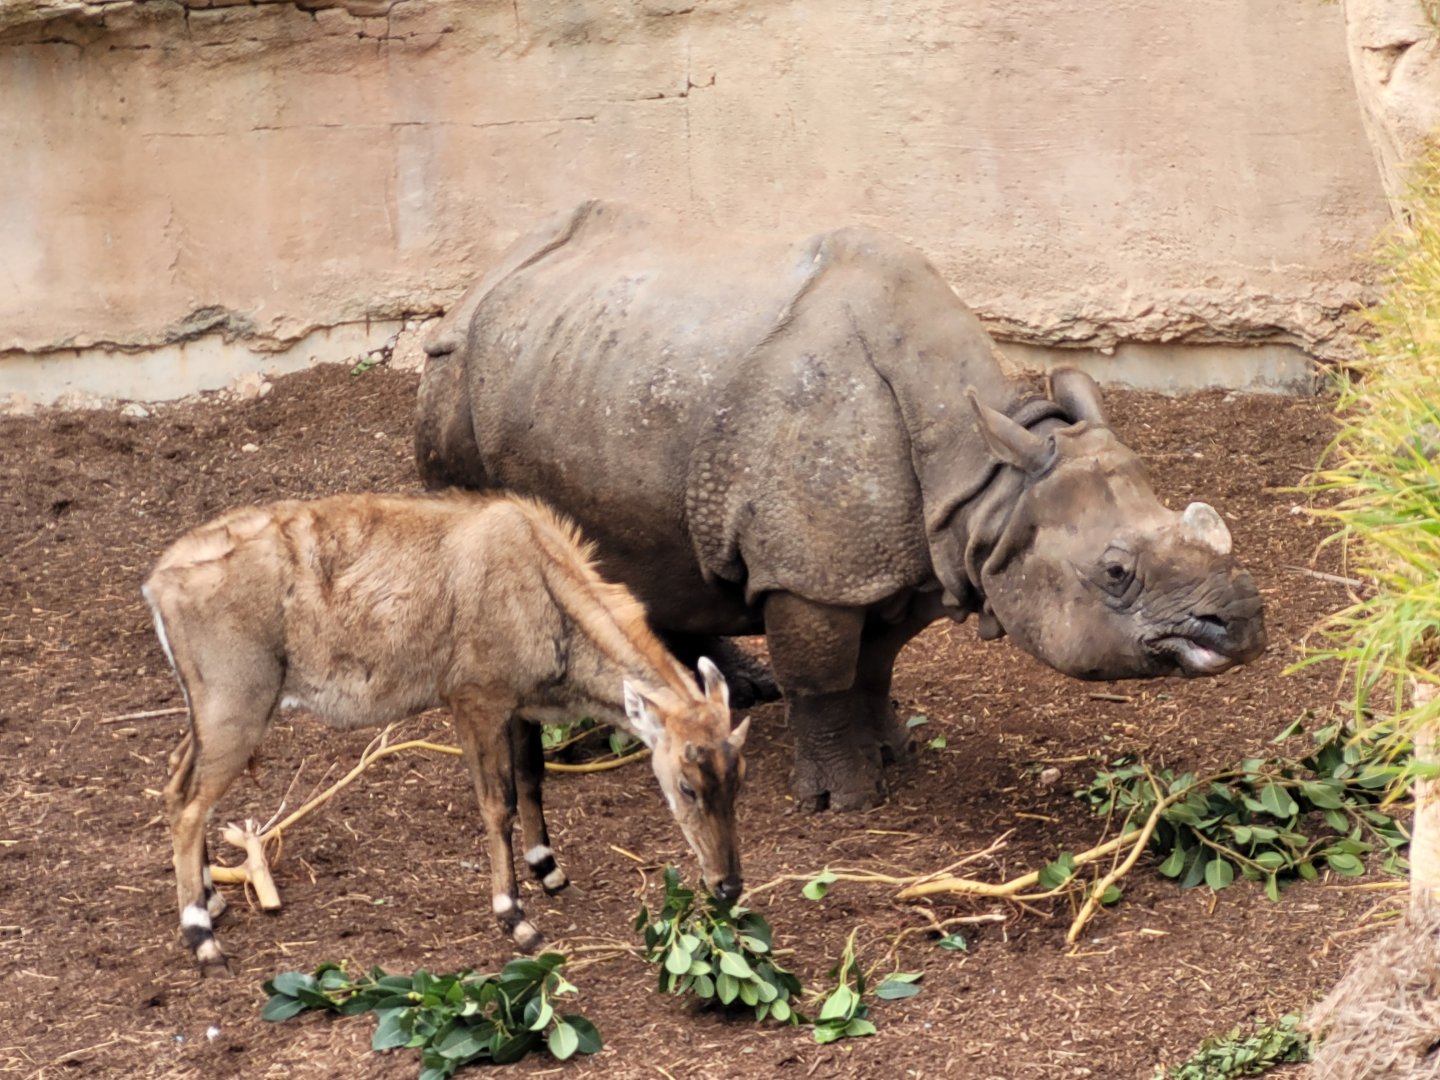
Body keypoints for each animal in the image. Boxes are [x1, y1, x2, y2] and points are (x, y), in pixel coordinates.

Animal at [416, 200, 1267, 812]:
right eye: (1116, 572)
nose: (1245, 623)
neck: (990, 478)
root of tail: (473, 286)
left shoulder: (907, 558)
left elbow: (876, 665)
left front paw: (893, 754)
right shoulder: (813, 574)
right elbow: (824, 676)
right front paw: (841, 800)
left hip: (597, 370)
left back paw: (722, 689)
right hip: (456, 379)